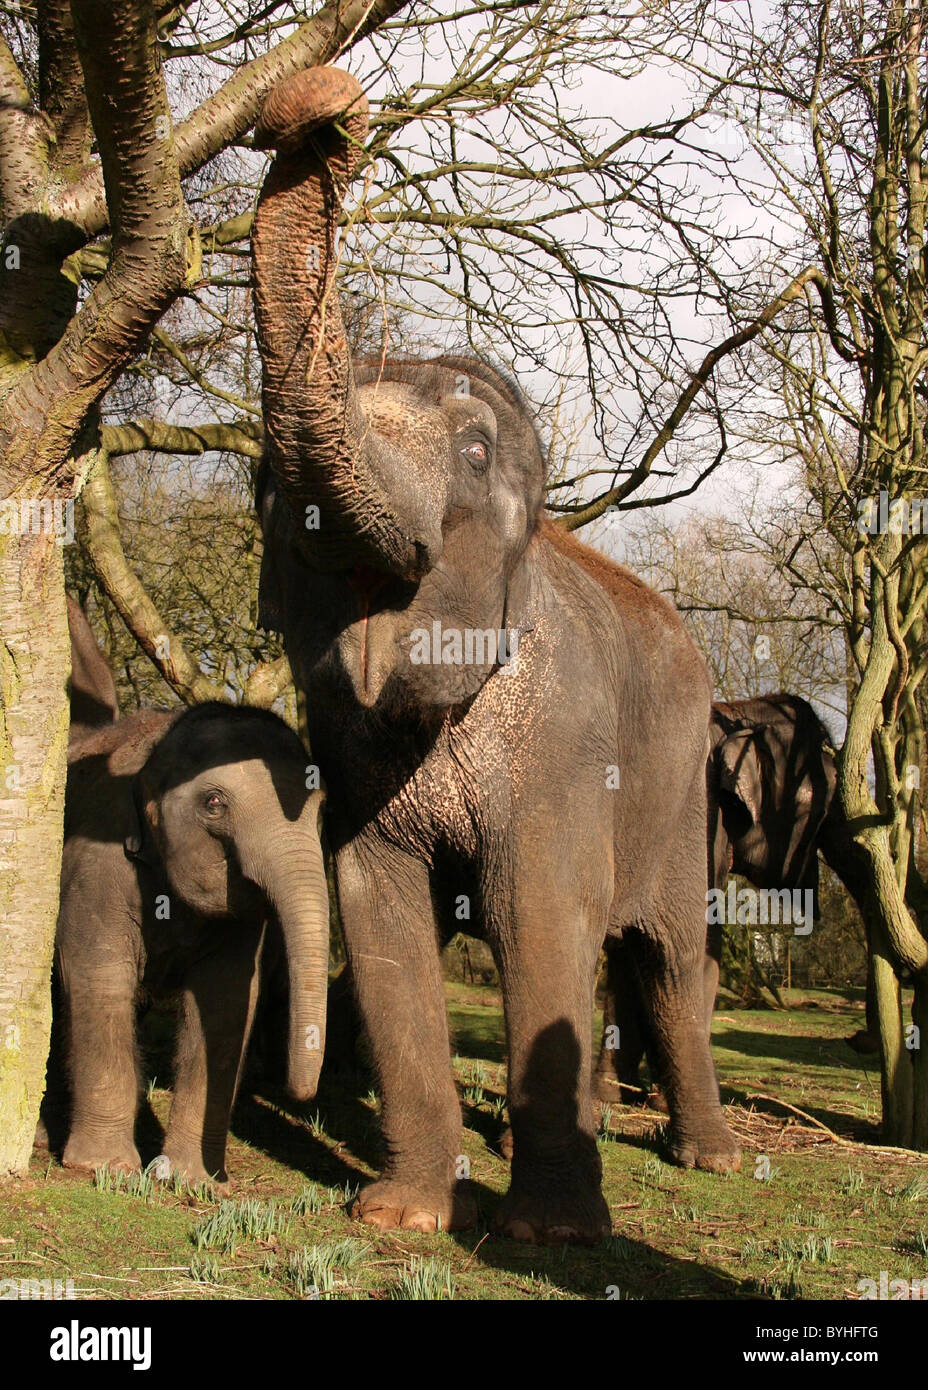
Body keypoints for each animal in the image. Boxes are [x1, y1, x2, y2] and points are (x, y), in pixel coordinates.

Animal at [54, 701, 329, 1185]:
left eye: (319, 808)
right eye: (214, 803)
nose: (299, 1095)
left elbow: (226, 1001)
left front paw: (191, 1180)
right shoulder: (93, 864)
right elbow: (99, 974)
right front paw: (104, 1168)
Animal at [249, 65, 740, 1245]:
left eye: (474, 452)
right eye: (268, 489)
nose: (320, 109)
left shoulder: (563, 739)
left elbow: (538, 912)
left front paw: (549, 1233)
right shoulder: (359, 763)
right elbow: (377, 904)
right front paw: (401, 1216)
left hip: (682, 796)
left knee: (666, 955)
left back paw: (706, 1155)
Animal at [592, 692, 874, 1104]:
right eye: (817, 807)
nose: (856, 1038)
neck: (738, 713)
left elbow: (635, 942)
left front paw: (616, 1094)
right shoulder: (702, 821)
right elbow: (697, 939)